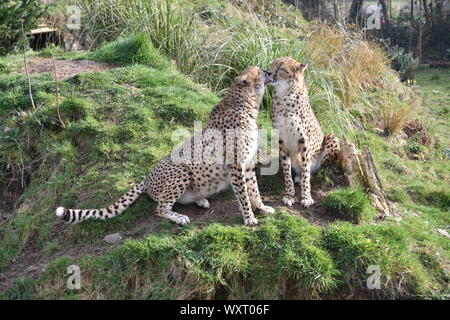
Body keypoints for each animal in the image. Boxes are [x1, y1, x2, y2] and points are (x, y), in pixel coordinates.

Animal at [56, 67, 274, 228]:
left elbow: (253, 189)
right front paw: (249, 217)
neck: (247, 103)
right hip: (180, 170)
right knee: (160, 208)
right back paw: (180, 217)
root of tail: (146, 178)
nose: (271, 72)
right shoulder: (235, 165)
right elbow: (243, 194)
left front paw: (262, 208)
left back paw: (200, 199)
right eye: (260, 70)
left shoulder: (247, 164)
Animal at [268, 57, 340, 208]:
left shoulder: (304, 141)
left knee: (314, 170)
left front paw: (306, 196)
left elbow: (307, 171)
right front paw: (289, 194)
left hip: (332, 138)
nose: (268, 73)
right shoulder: (281, 140)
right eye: (272, 64)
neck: (284, 95)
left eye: (281, 68)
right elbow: (286, 170)